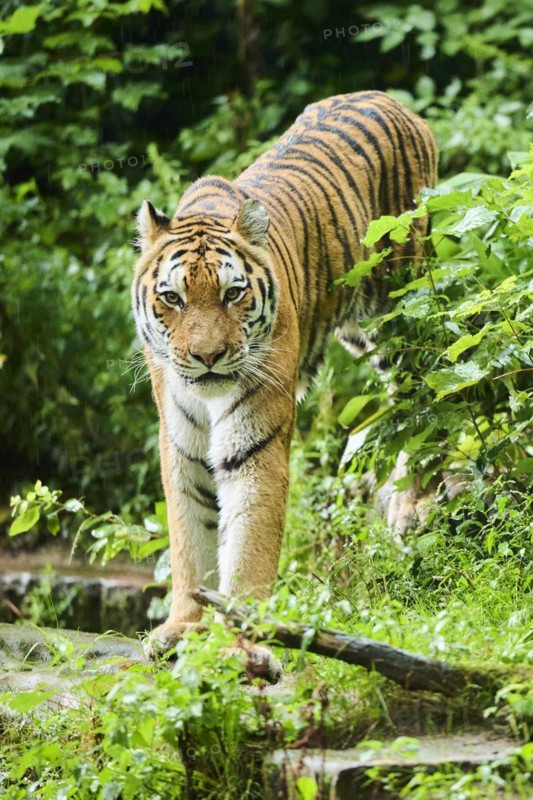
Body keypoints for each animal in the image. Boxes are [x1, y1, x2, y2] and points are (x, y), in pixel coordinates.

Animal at [132, 90, 438, 668]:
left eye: (232, 294)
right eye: (172, 298)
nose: (207, 357)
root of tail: (393, 100)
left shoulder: (255, 442)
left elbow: (249, 542)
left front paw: (242, 642)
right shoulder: (180, 443)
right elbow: (189, 540)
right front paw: (182, 627)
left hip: (401, 310)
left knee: (425, 400)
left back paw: (411, 504)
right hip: (360, 331)